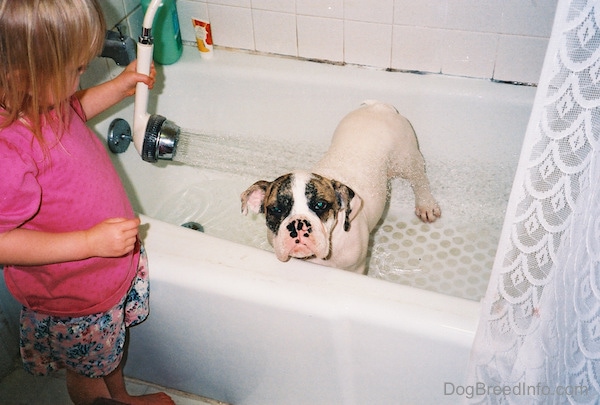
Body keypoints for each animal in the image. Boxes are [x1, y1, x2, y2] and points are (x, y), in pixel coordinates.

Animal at [239, 99, 440, 274]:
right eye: (276, 209)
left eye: (320, 205)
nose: (298, 225)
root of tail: (379, 106)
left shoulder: (356, 268)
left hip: (406, 160)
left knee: (419, 179)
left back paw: (426, 205)